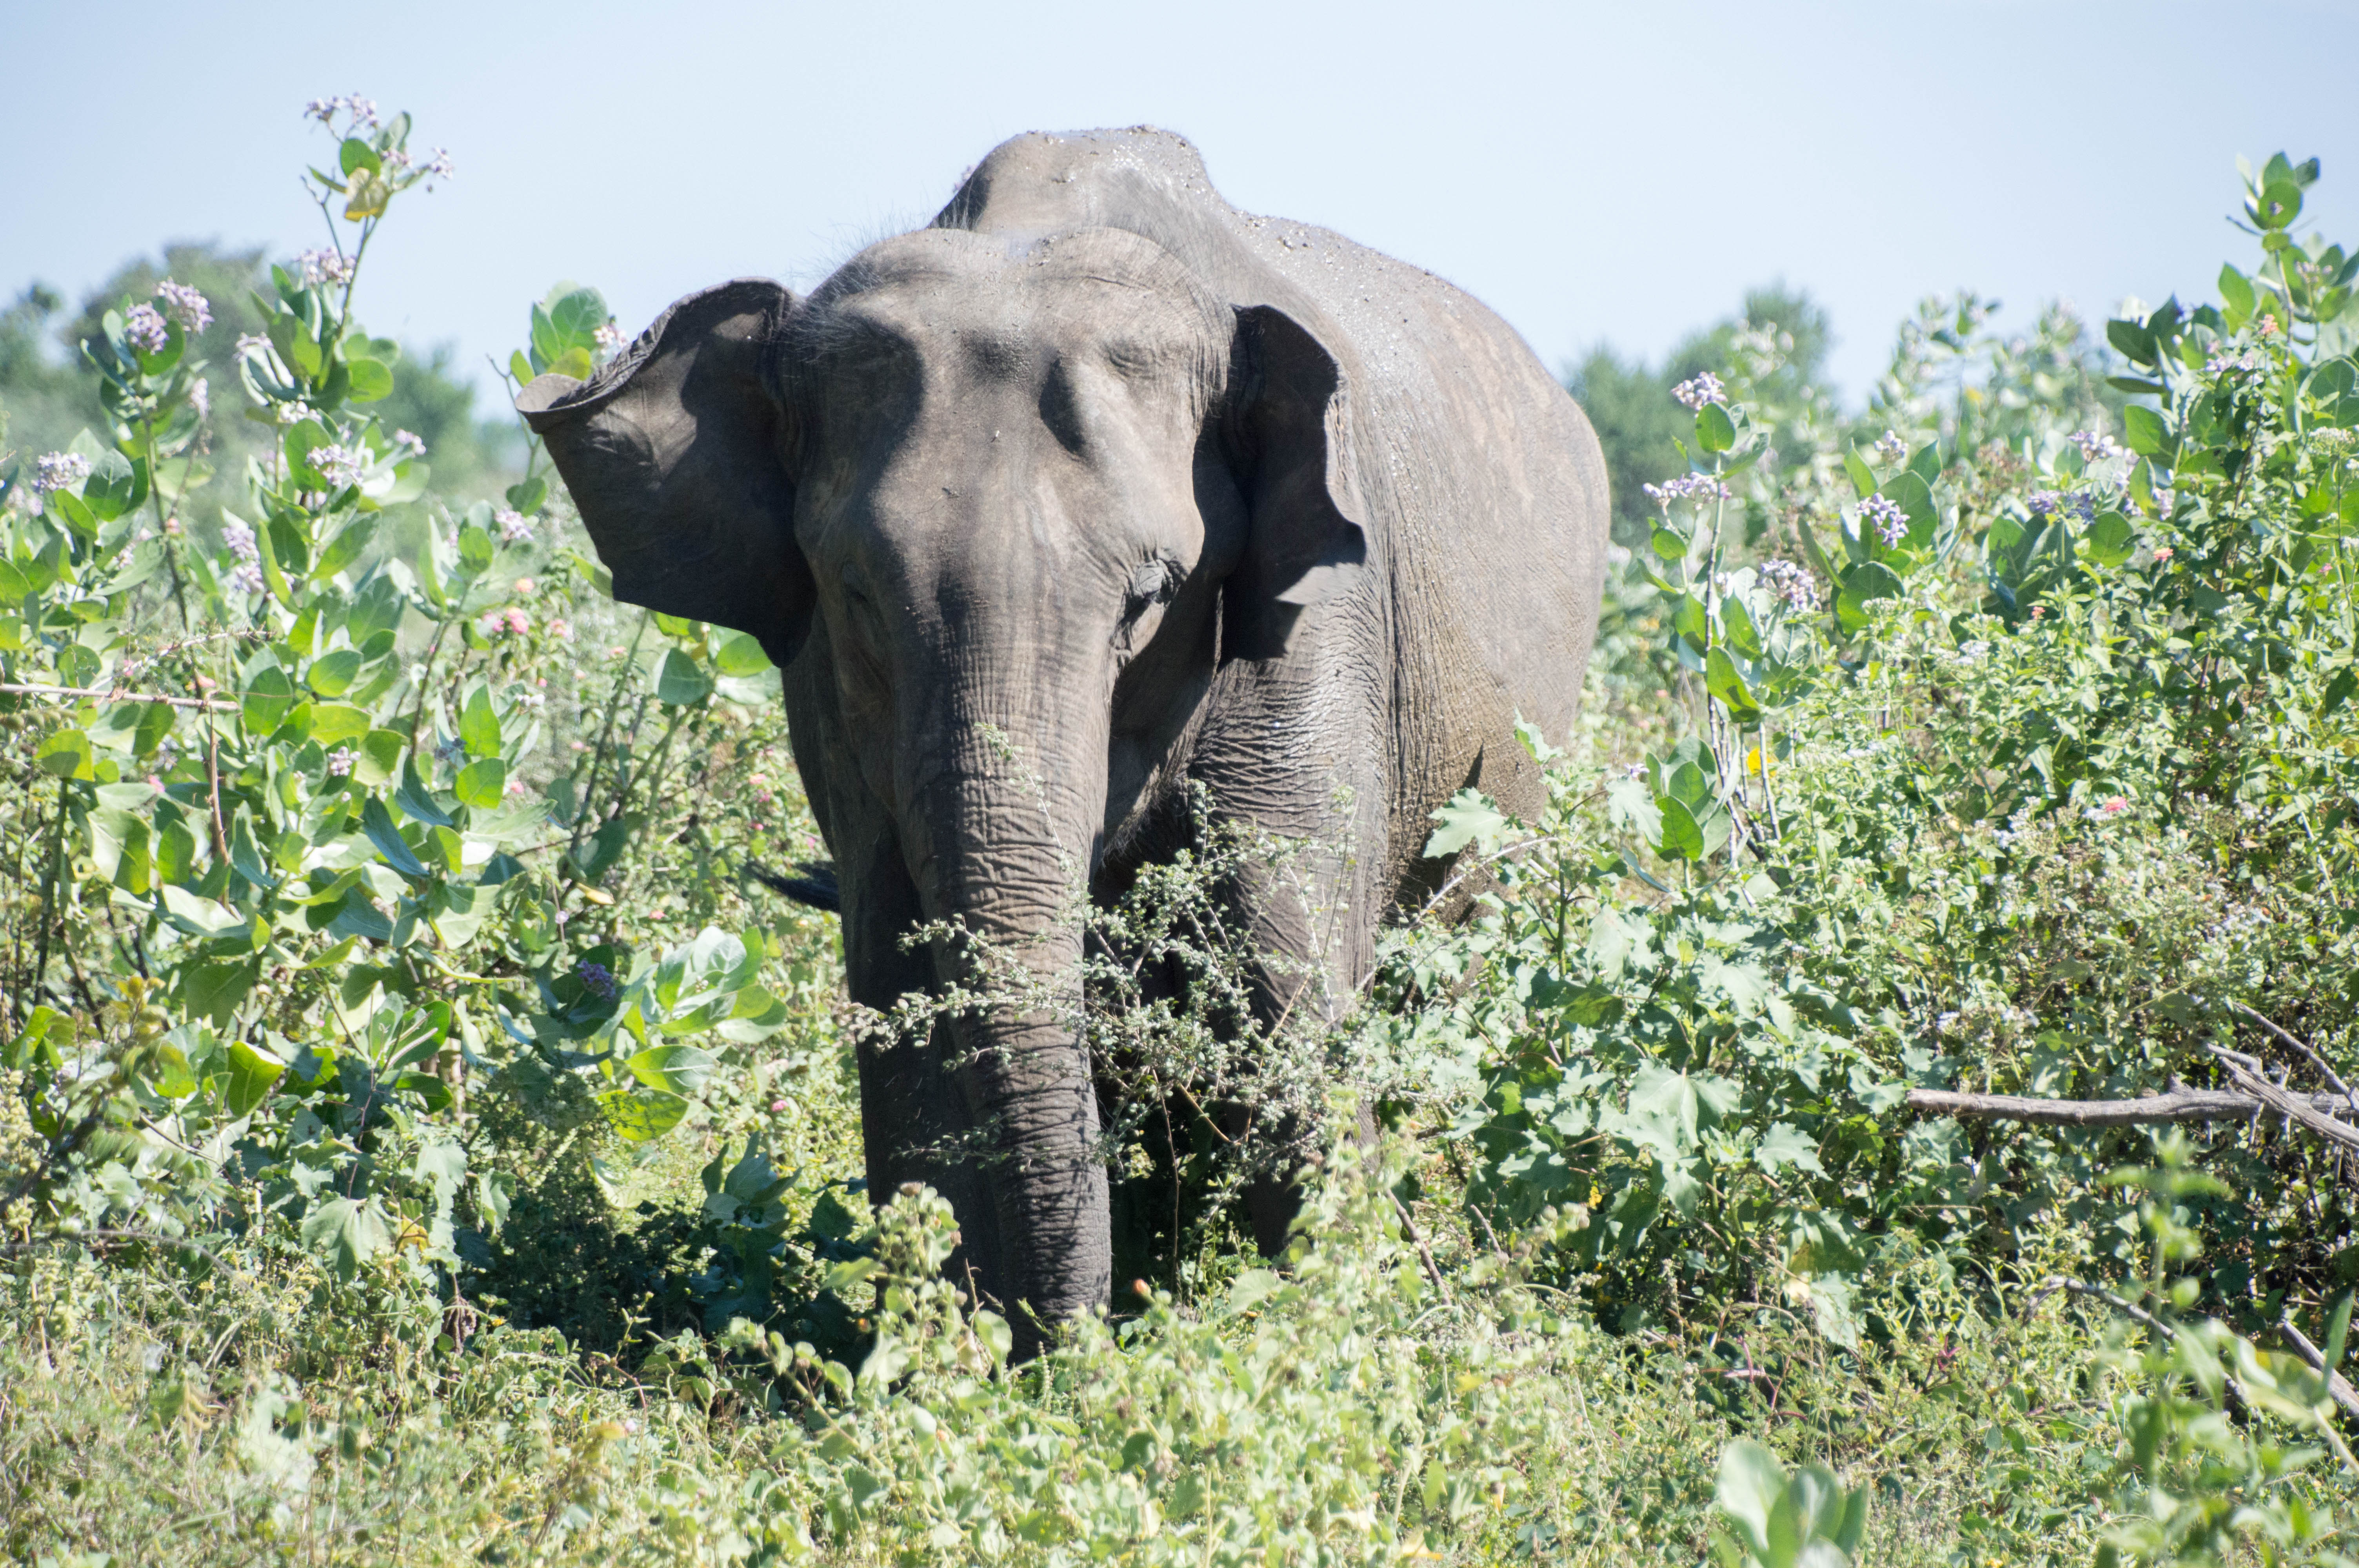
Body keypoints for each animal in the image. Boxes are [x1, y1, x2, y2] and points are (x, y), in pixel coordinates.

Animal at [518, 126, 1609, 1350]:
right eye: (855, 591)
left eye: (1151, 596)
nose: (1075, 1347)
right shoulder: (832, 710)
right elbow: (900, 992)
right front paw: (955, 1357)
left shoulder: (1324, 619)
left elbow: (1284, 991)